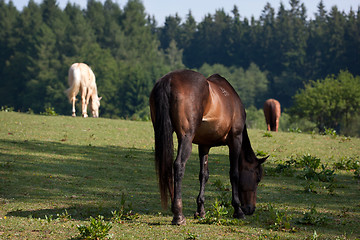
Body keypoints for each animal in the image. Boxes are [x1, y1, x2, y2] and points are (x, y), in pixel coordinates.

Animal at [149, 70, 268, 225]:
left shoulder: (204, 146)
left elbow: (203, 175)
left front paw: (200, 210)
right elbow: (234, 174)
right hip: (186, 138)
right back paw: (178, 215)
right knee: (178, 165)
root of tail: (169, 80)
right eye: (257, 178)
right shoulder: (235, 140)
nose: (250, 209)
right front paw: (237, 210)